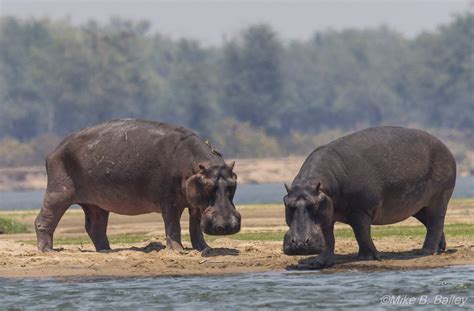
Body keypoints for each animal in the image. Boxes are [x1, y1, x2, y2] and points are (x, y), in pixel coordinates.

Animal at [34, 119, 241, 254]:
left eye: (233, 183)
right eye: (208, 185)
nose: (227, 225)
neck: (195, 165)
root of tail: (53, 150)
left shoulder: (196, 202)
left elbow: (195, 225)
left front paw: (204, 248)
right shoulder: (169, 201)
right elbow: (173, 224)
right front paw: (177, 250)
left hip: (97, 203)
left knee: (95, 226)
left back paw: (107, 250)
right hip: (59, 191)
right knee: (45, 219)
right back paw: (48, 251)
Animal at [284, 127, 458, 268]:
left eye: (314, 205)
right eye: (287, 203)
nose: (300, 243)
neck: (317, 186)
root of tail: (446, 147)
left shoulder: (360, 210)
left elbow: (361, 232)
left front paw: (367, 257)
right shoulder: (327, 213)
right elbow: (327, 238)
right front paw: (318, 263)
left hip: (439, 198)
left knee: (436, 221)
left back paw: (425, 252)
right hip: (418, 205)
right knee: (428, 220)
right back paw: (440, 248)